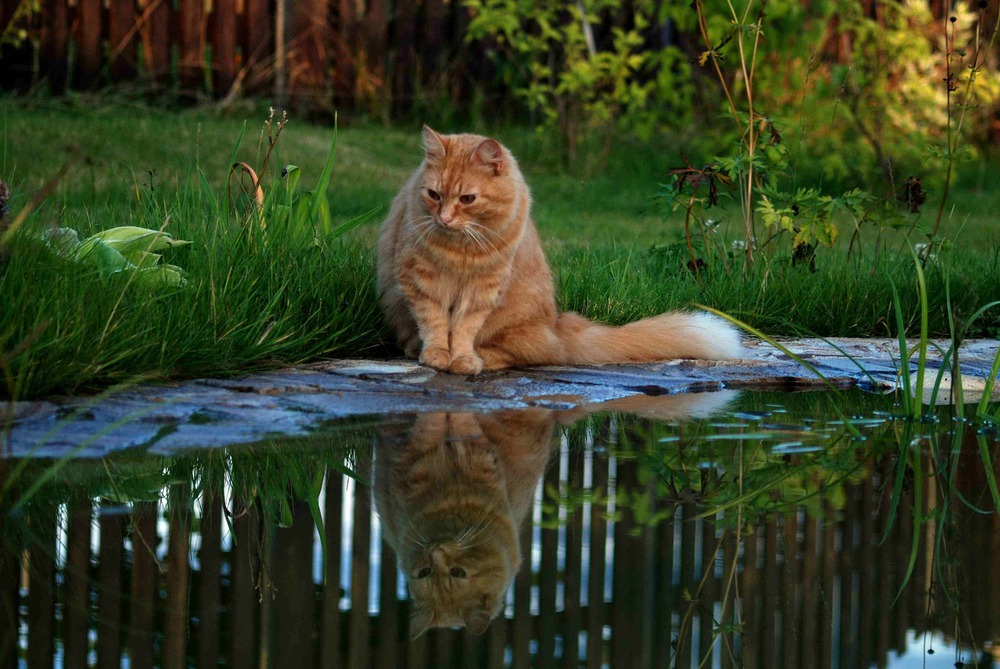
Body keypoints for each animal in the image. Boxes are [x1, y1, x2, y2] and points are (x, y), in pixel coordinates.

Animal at [376, 127, 744, 374]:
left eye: (468, 198)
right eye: (434, 195)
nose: (445, 219)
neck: (459, 249)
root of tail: (558, 326)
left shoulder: (483, 289)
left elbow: (463, 328)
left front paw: (462, 359)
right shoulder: (420, 280)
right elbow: (435, 322)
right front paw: (437, 354)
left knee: (523, 355)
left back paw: (481, 358)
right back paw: (415, 348)